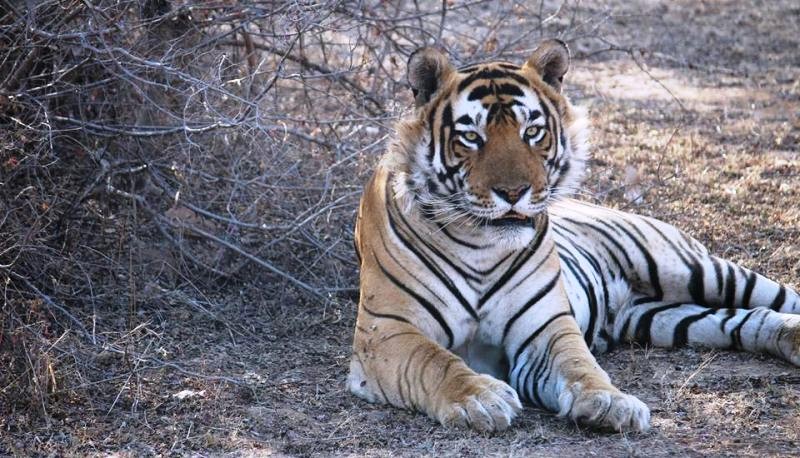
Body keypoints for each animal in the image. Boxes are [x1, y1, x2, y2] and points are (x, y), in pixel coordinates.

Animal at [347, 39, 800, 433]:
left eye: (532, 132)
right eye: (471, 137)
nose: (514, 192)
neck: (480, 246)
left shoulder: (546, 327)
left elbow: (580, 365)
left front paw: (611, 403)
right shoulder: (388, 331)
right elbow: (435, 361)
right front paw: (482, 399)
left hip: (696, 270)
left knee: (774, 298)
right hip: (661, 317)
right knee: (744, 319)